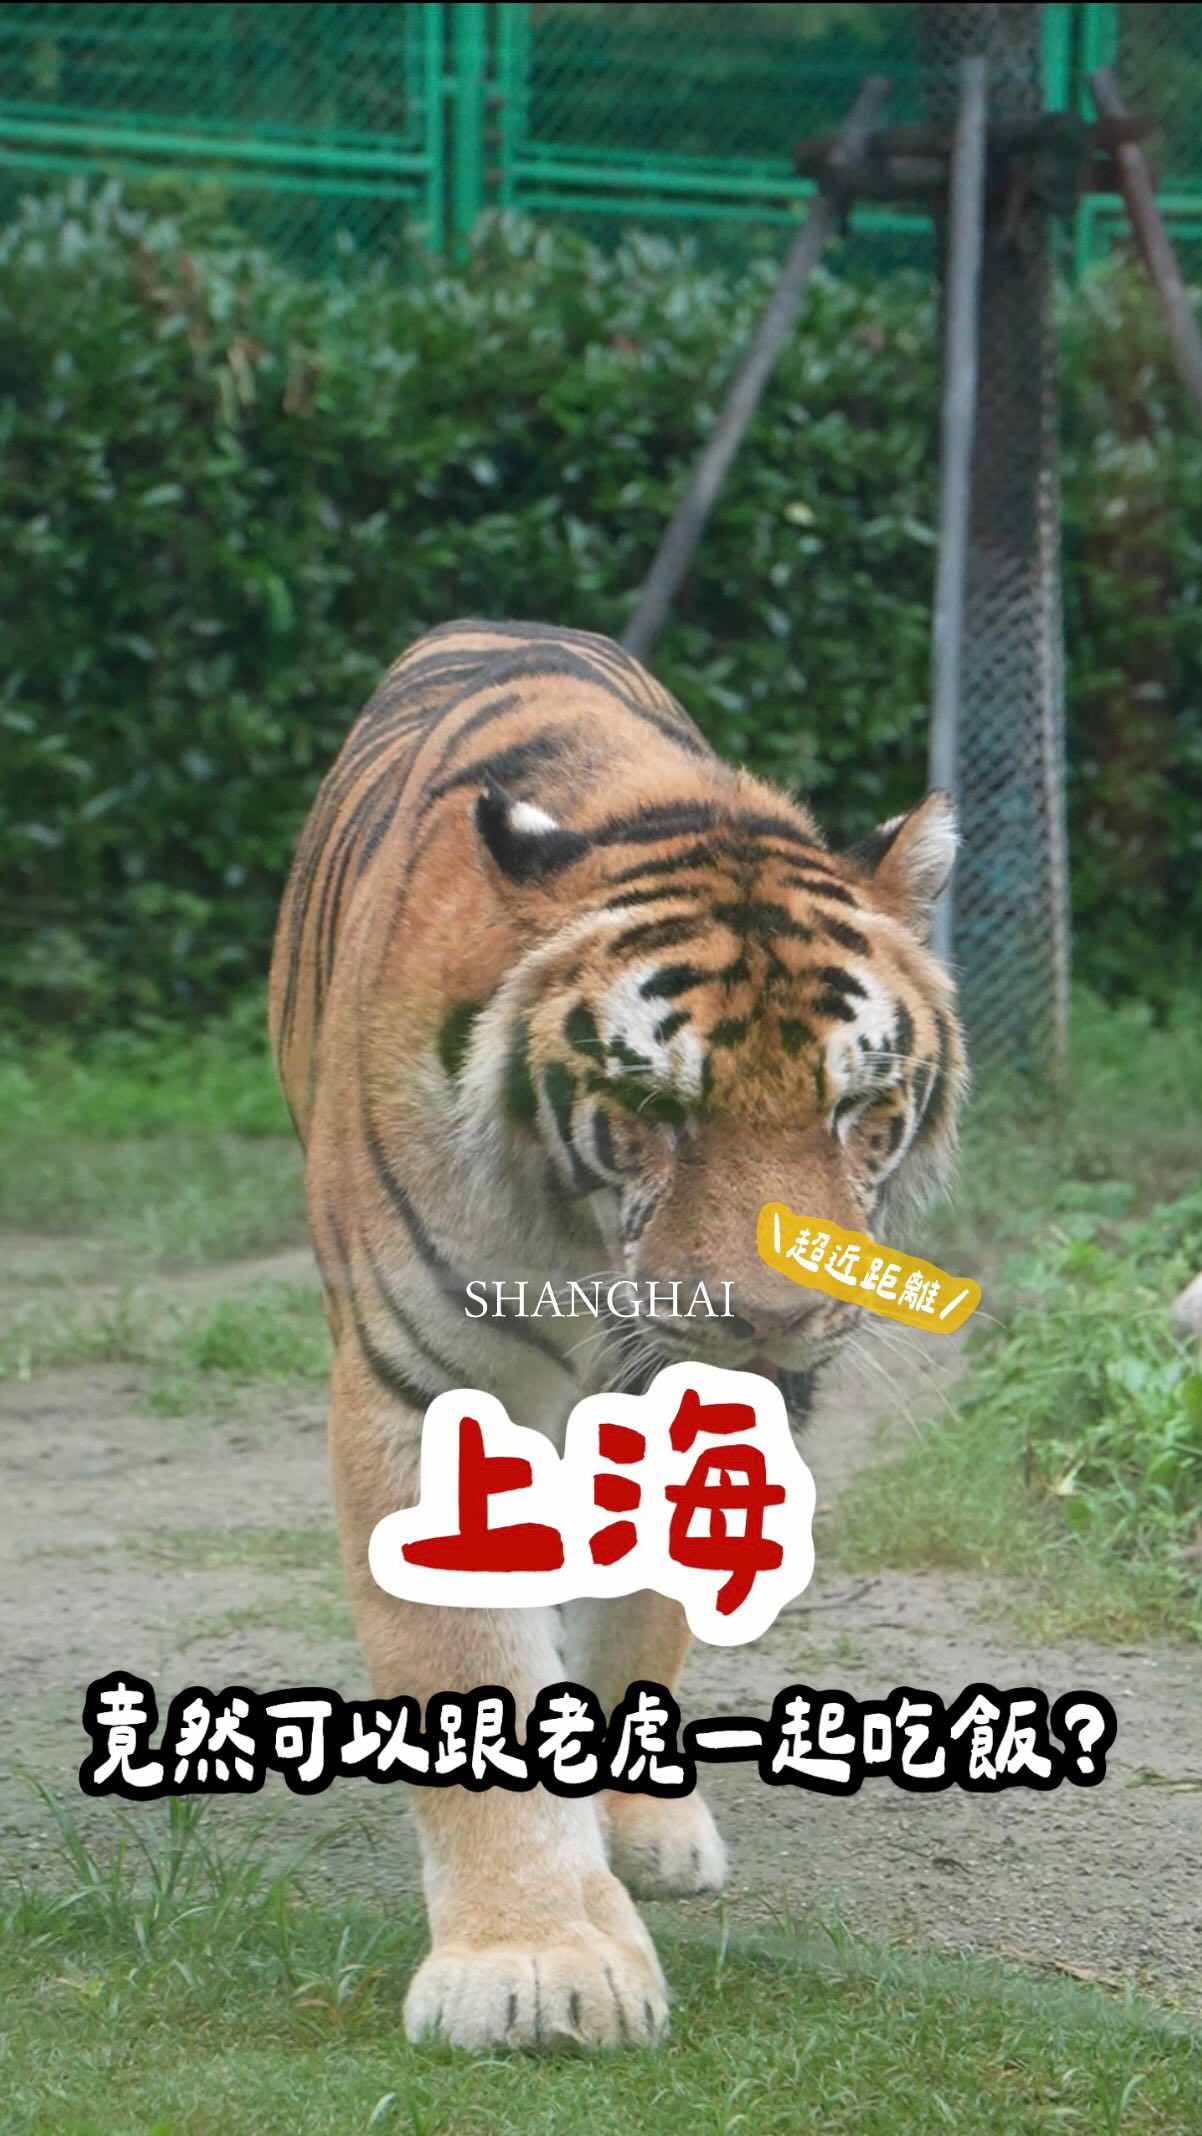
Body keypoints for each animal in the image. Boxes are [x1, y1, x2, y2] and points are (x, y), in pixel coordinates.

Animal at [268, 618, 966, 2053]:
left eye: (857, 1110)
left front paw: (624, 1830)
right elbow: (460, 1653)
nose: (771, 1318)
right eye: (653, 1108)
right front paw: (532, 1962)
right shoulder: (422, 1386)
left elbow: (641, 1617)